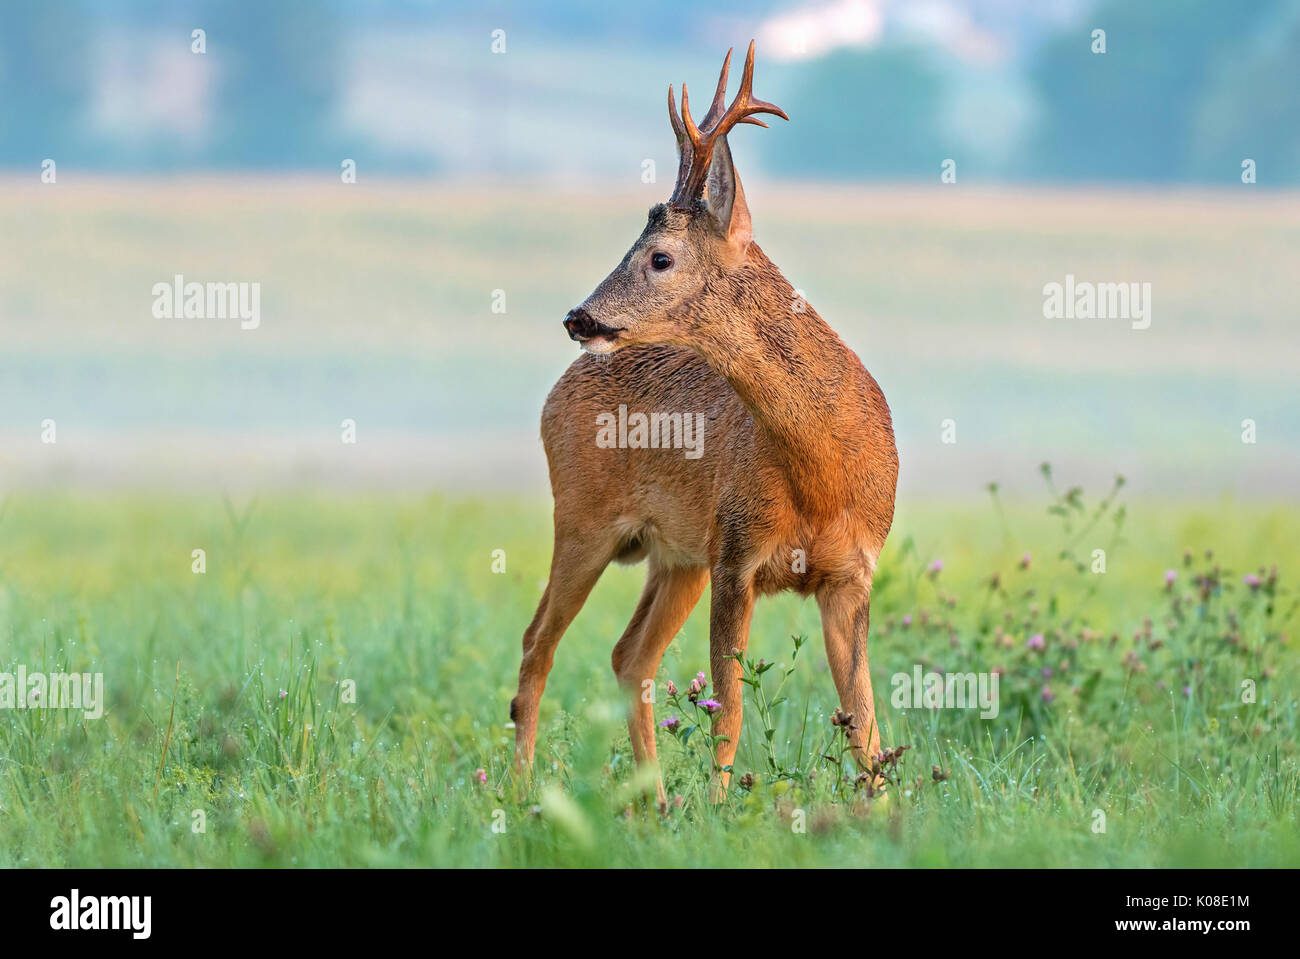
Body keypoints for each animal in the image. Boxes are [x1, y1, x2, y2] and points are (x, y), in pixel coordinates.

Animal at [512, 41, 899, 800]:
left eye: (659, 256)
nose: (578, 316)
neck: (822, 469)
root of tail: (556, 390)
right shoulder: (736, 553)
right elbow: (730, 709)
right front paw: (722, 806)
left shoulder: (850, 572)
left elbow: (864, 721)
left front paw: (885, 808)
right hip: (583, 518)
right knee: (537, 645)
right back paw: (513, 789)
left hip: (674, 554)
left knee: (628, 654)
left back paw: (654, 802)